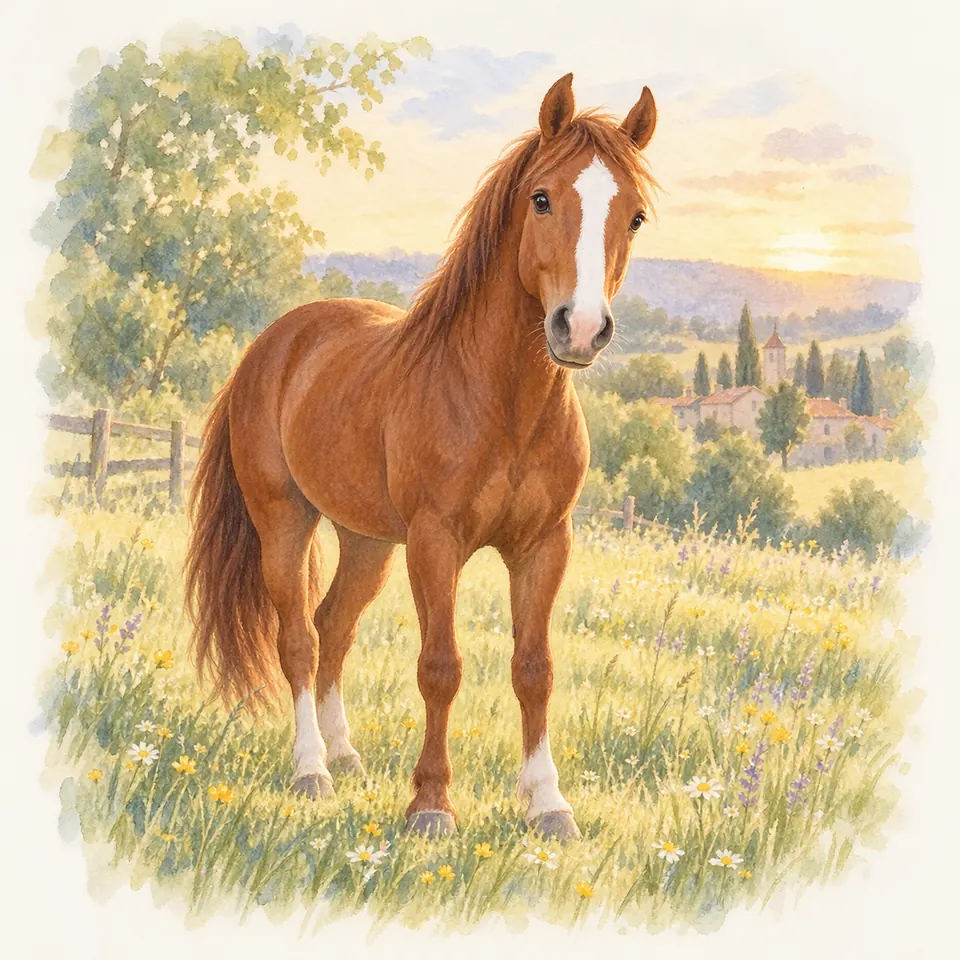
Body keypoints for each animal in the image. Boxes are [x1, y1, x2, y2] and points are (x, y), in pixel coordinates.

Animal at [185, 73, 657, 840]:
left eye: (636, 215)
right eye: (542, 198)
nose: (580, 329)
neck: (502, 403)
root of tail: (276, 342)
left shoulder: (543, 546)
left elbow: (535, 669)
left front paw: (548, 804)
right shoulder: (436, 543)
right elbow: (441, 666)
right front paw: (432, 805)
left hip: (368, 542)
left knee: (333, 628)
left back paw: (346, 756)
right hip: (284, 522)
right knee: (299, 640)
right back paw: (311, 770)